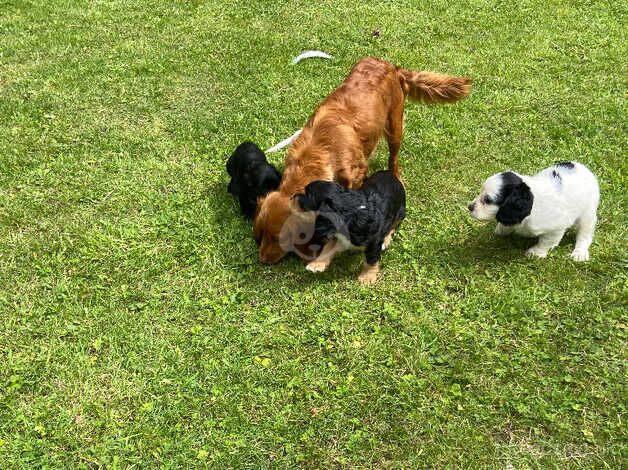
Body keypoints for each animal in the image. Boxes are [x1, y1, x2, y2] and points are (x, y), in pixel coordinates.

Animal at [253, 56, 468, 262]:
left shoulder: (354, 176)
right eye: (262, 234)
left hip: (394, 126)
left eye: (281, 237)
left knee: (394, 158)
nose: (262, 260)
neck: (317, 154)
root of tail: (391, 66)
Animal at [472, 162, 600, 260]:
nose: (469, 207)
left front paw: (536, 253)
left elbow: (546, 242)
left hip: (587, 214)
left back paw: (579, 253)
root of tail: (585, 169)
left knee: (584, 235)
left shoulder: (556, 228)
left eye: (487, 200)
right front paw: (502, 229)